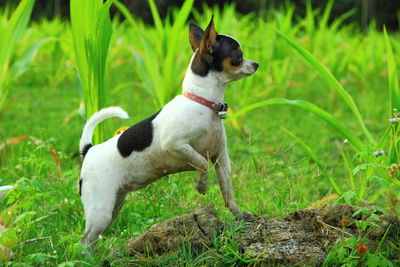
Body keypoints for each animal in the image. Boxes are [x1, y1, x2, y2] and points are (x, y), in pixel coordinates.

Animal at [79, 16, 258, 248]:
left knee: (91, 239)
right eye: (238, 56)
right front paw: (201, 184)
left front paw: (239, 215)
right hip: (100, 210)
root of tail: (89, 150)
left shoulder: (221, 158)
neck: (203, 103)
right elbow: (201, 162)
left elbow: (228, 191)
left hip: (114, 205)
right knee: (84, 241)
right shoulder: (175, 144)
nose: (256, 64)